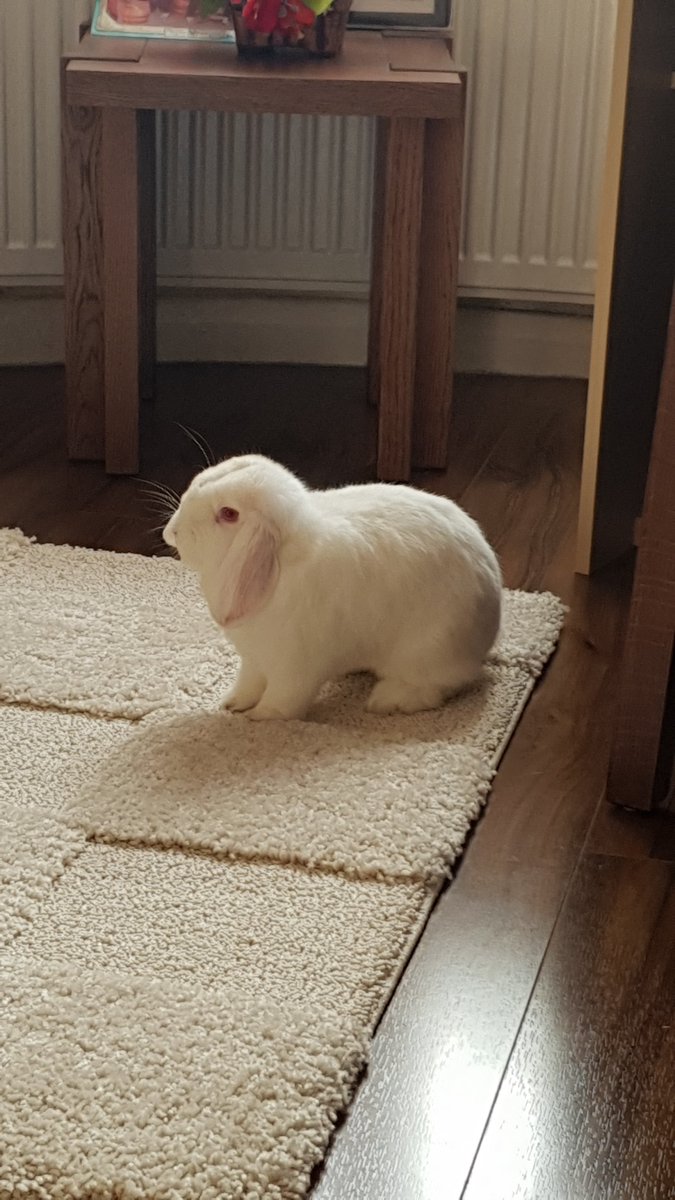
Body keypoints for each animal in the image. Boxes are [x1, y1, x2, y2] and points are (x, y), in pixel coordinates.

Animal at [163, 454, 502, 721]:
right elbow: (248, 684)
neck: (282, 562)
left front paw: (260, 717)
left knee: (437, 686)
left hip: (428, 650)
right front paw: (232, 704)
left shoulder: (294, 665)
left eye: (228, 514)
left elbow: (283, 700)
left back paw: (387, 700)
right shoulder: (254, 660)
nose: (173, 532)